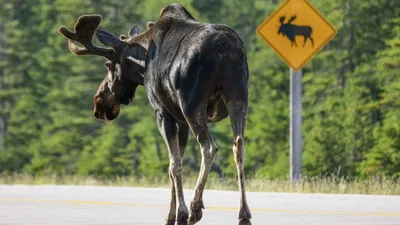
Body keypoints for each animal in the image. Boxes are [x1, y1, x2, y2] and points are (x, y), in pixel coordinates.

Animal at [57, 3, 252, 225]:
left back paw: (195, 208)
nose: (99, 103)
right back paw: (244, 214)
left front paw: (179, 214)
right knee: (239, 147)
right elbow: (174, 163)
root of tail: (223, 51)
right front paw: (171, 214)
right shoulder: (179, 119)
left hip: (193, 104)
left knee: (209, 147)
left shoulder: (163, 112)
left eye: (108, 65)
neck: (143, 63)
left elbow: (174, 164)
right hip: (238, 97)